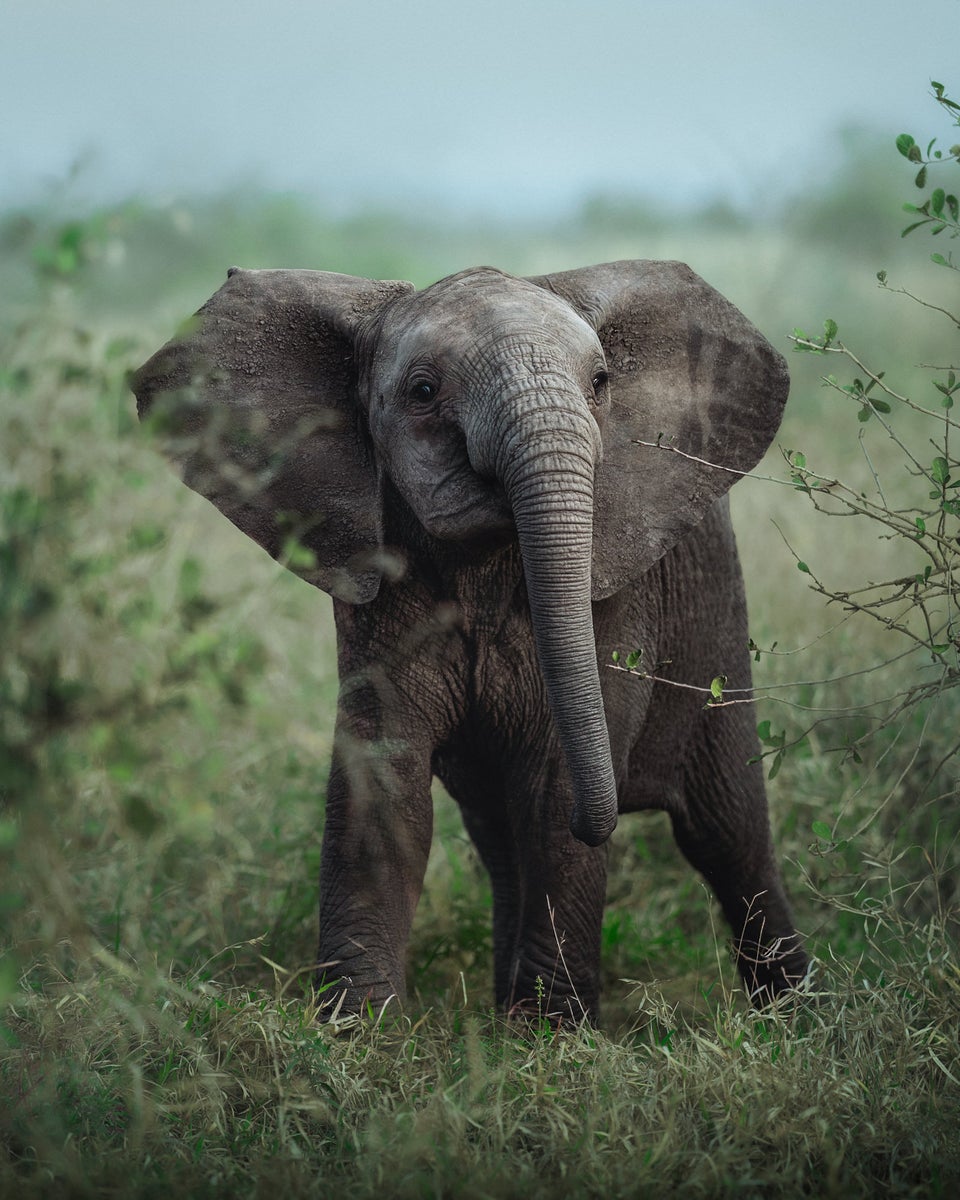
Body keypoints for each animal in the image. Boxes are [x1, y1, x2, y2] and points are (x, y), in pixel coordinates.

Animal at [133, 259, 809, 1022]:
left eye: (601, 382)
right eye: (424, 392)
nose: (604, 817)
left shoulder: (616, 597)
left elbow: (554, 787)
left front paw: (549, 1035)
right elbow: (384, 786)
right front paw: (358, 1029)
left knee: (726, 831)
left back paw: (793, 1015)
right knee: (502, 836)